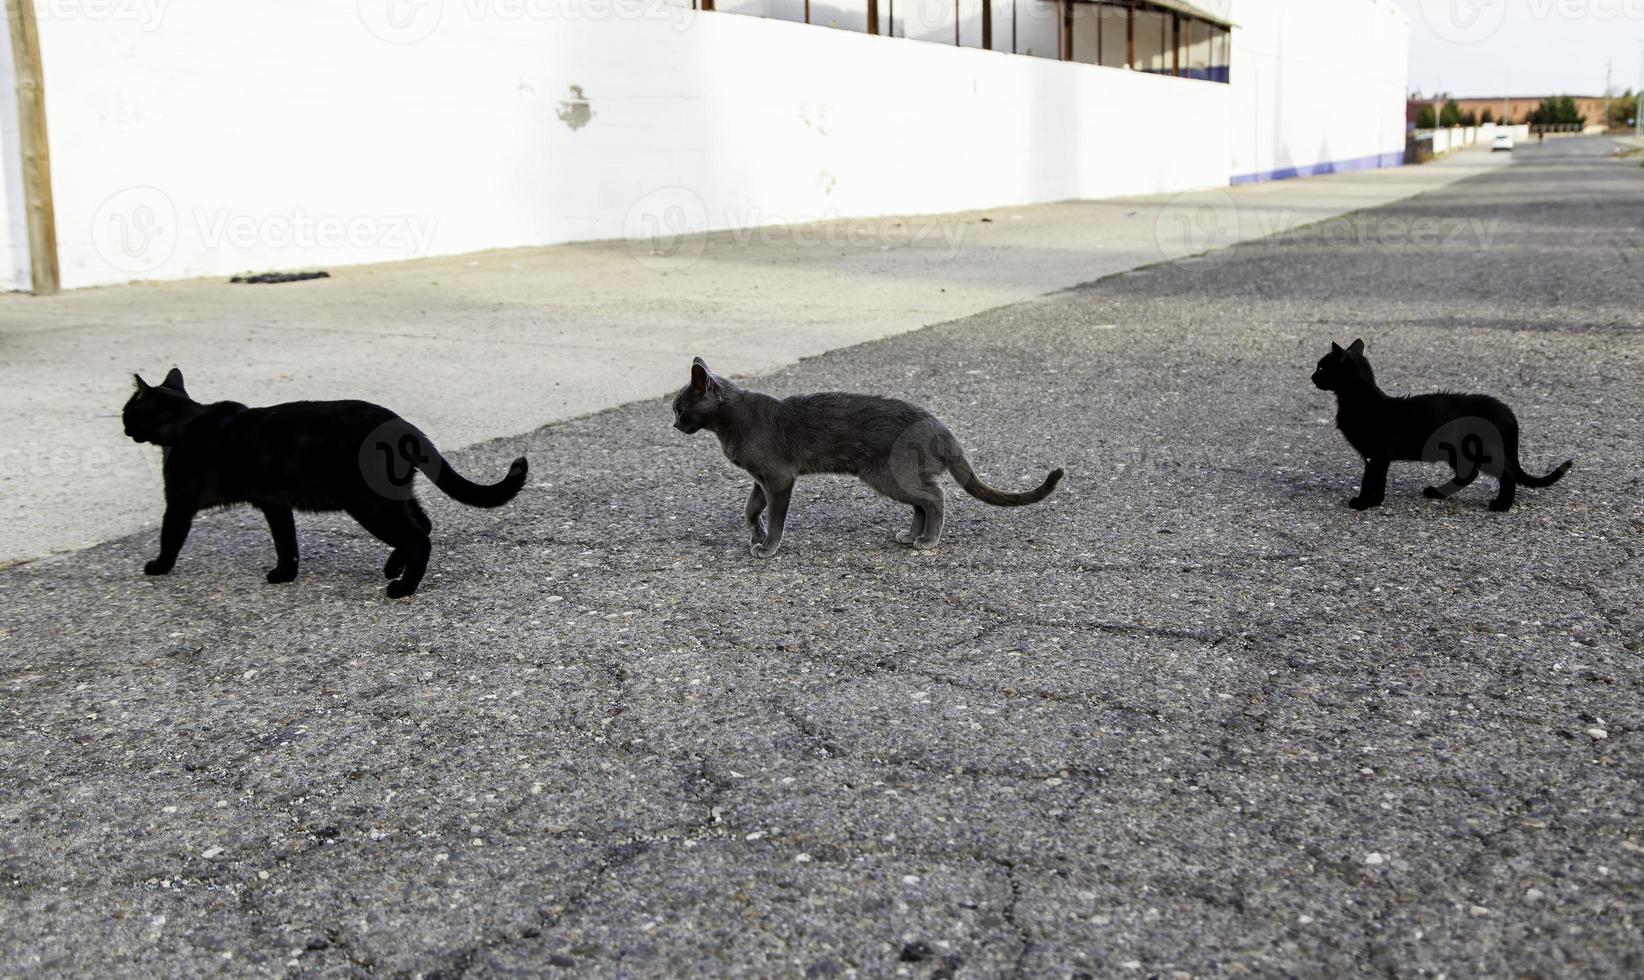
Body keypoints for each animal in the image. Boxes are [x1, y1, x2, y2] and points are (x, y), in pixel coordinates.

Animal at [121, 368, 526, 598]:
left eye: (127, 410)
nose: (123, 425)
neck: (185, 421)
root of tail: (402, 425)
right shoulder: (275, 503)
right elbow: (287, 543)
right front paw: (285, 575)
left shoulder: (179, 501)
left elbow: (170, 537)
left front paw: (158, 566)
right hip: (392, 495)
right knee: (422, 524)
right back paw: (392, 568)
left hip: (370, 503)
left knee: (418, 538)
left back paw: (401, 587)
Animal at [670, 358, 1065, 559]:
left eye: (678, 408)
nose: (672, 424)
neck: (730, 422)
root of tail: (942, 430)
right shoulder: (760, 478)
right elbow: (750, 509)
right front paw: (757, 532)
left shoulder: (779, 478)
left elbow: (777, 515)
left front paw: (768, 546)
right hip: (894, 475)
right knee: (922, 502)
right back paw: (911, 535)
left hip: (888, 473)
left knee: (934, 497)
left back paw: (928, 541)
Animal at [1308, 338, 1565, 513]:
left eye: (1322, 367)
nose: (1311, 377)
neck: (1360, 401)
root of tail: (1503, 408)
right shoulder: (1378, 458)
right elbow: (1377, 480)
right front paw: (1375, 501)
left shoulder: (1376, 455)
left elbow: (1370, 480)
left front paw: (1364, 503)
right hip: (1457, 452)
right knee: (1468, 474)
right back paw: (1437, 493)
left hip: (1479, 450)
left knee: (1507, 472)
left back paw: (1501, 505)